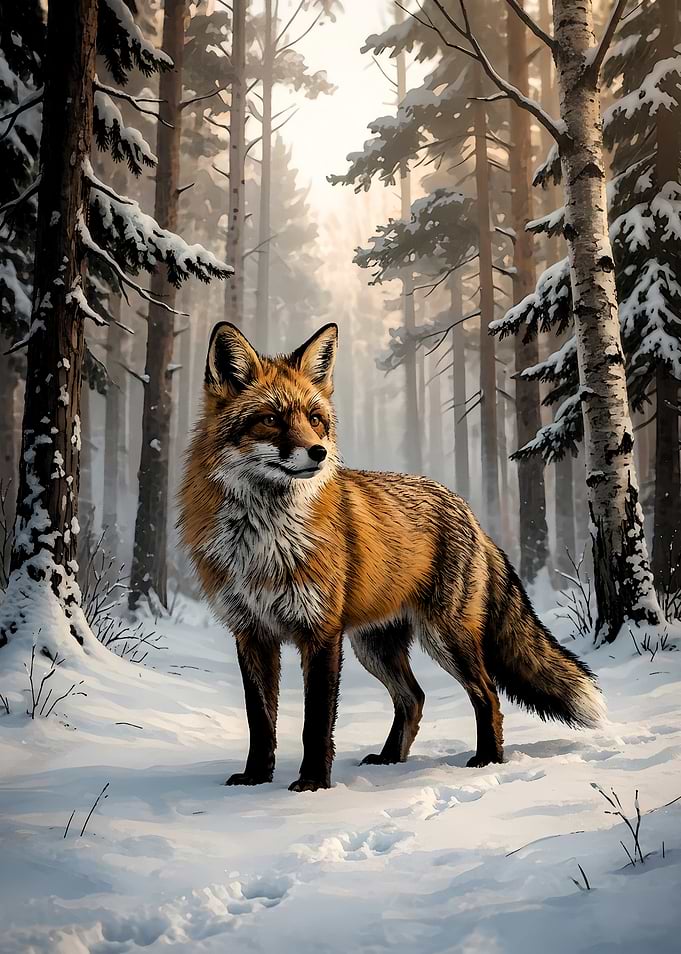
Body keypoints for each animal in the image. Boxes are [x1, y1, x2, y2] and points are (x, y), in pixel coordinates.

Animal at [178, 321, 605, 793]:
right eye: (270, 419)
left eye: (314, 419)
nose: (318, 452)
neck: (264, 542)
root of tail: (469, 510)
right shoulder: (251, 632)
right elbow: (260, 720)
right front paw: (256, 777)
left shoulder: (321, 632)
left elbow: (315, 722)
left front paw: (313, 785)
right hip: (374, 646)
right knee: (413, 698)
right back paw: (389, 759)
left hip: (445, 637)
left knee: (487, 693)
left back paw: (488, 760)